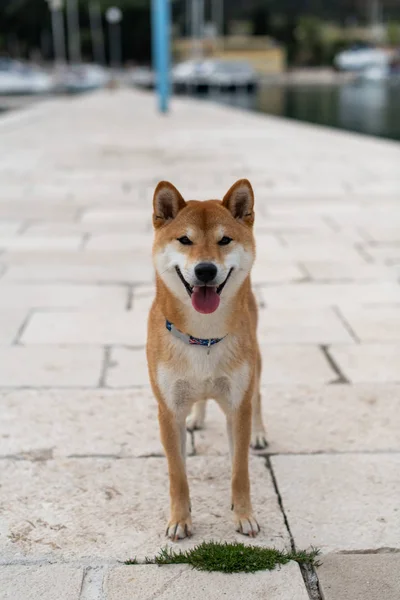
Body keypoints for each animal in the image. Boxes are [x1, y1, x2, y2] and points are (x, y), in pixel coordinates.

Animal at [146, 180, 266, 540]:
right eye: (184, 240)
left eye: (224, 240)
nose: (205, 269)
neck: (203, 339)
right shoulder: (168, 410)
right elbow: (177, 475)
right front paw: (179, 520)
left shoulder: (237, 406)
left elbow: (240, 470)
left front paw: (244, 515)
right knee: (200, 400)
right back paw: (197, 417)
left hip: (256, 362)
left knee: (258, 395)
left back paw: (260, 433)